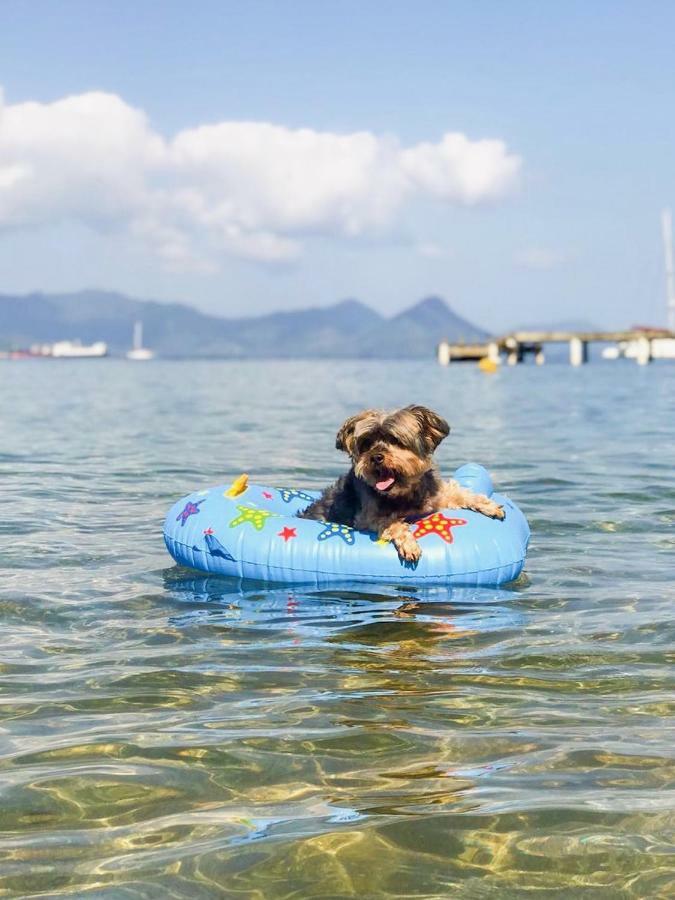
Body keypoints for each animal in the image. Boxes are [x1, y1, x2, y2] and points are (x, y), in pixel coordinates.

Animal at [298, 406, 504, 564]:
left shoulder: (436, 495)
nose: (376, 457)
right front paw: (409, 544)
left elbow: (459, 493)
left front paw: (489, 506)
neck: (403, 493)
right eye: (367, 443)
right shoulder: (366, 519)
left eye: (395, 440)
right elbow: (392, 523)